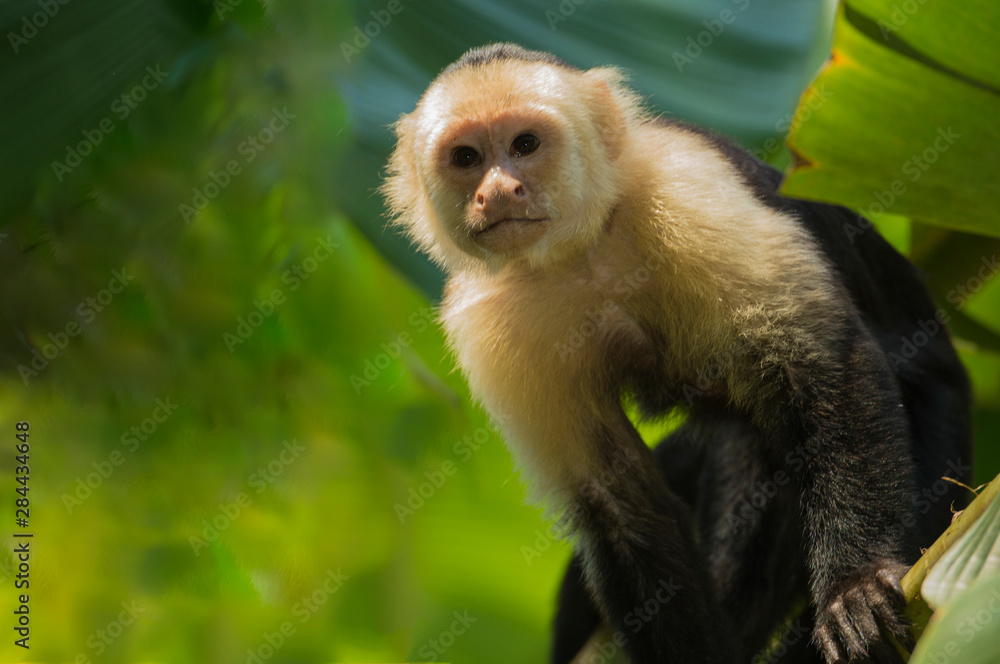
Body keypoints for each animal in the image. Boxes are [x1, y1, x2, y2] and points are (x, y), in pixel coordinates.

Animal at [382, 43, 972, 664]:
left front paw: (853, 584)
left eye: (525, 144)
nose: (497, 191)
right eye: (466, 157)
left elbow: (823, 363)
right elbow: (617, 503)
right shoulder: (487, 318)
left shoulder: (684, 184)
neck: (584, 250)